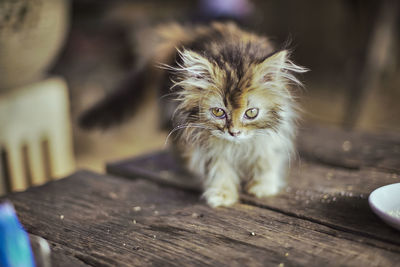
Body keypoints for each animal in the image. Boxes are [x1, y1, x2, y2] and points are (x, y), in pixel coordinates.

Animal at [80, 22, 306, 208]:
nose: (234, 132)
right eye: (218, 112)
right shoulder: (203, 138)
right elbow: (218, 166)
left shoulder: (271, 135)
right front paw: (222, 194)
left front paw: (263, 185)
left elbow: (266, 157)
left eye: (251, 113)